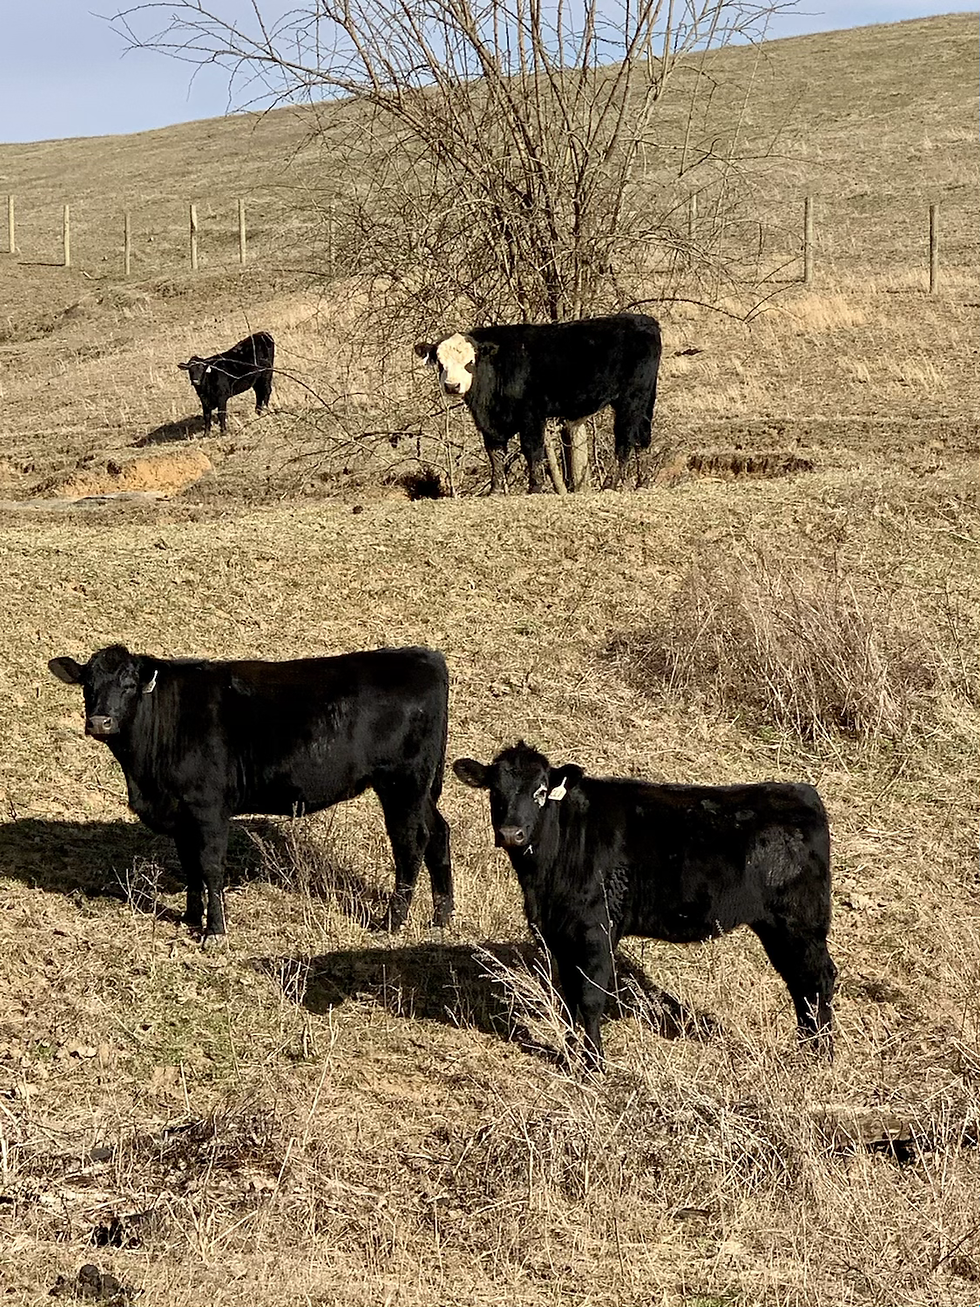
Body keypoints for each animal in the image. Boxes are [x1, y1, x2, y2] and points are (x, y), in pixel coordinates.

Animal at [48, 644, 453, 944]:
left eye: (129, 684)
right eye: (87, 684)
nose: (100, 722)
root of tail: (424, 657)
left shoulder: (209, 808)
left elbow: (210, 867)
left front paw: (214, 931)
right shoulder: (182, 814)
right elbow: (189, 865)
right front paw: (190, 916)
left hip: (403, 785)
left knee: (410, 844)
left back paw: (392, 921)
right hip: (422, 791)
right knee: (438, 834)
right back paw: (442, 916)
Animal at [414, 313, 662, 494]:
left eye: (470, 362)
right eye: (440, 363)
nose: (452, 386)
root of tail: (645, 320)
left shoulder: (531, 413)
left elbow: (532, 449)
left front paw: (535, 487)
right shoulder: (489, 423)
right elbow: (495, 454)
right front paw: (495, 490)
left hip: (631, 400)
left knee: (625, 439)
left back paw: (610, 484)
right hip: (643, 402)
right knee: (641, 439)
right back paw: (640, 483)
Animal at [453, 742, 836, 1068]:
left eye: (541, 792)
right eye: (495, 790)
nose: (511, 833)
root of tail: (802, 793)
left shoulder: (597, 928)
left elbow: (590, 995)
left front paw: (594, 1063)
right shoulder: (557, 933)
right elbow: (569, 996)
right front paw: (572, 1052)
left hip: (799, 921)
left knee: (817, 977)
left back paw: (819, 1054)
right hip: (777, 926)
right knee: (799, 981)